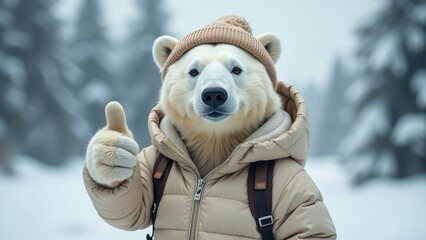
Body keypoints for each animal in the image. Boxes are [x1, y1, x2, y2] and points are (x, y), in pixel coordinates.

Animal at [84, 15, 336, 240]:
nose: (214, 94)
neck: (216, 141)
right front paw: (112, 152)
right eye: (193, 71)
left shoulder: (289, 179)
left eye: (236, 69)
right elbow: (133, 207)